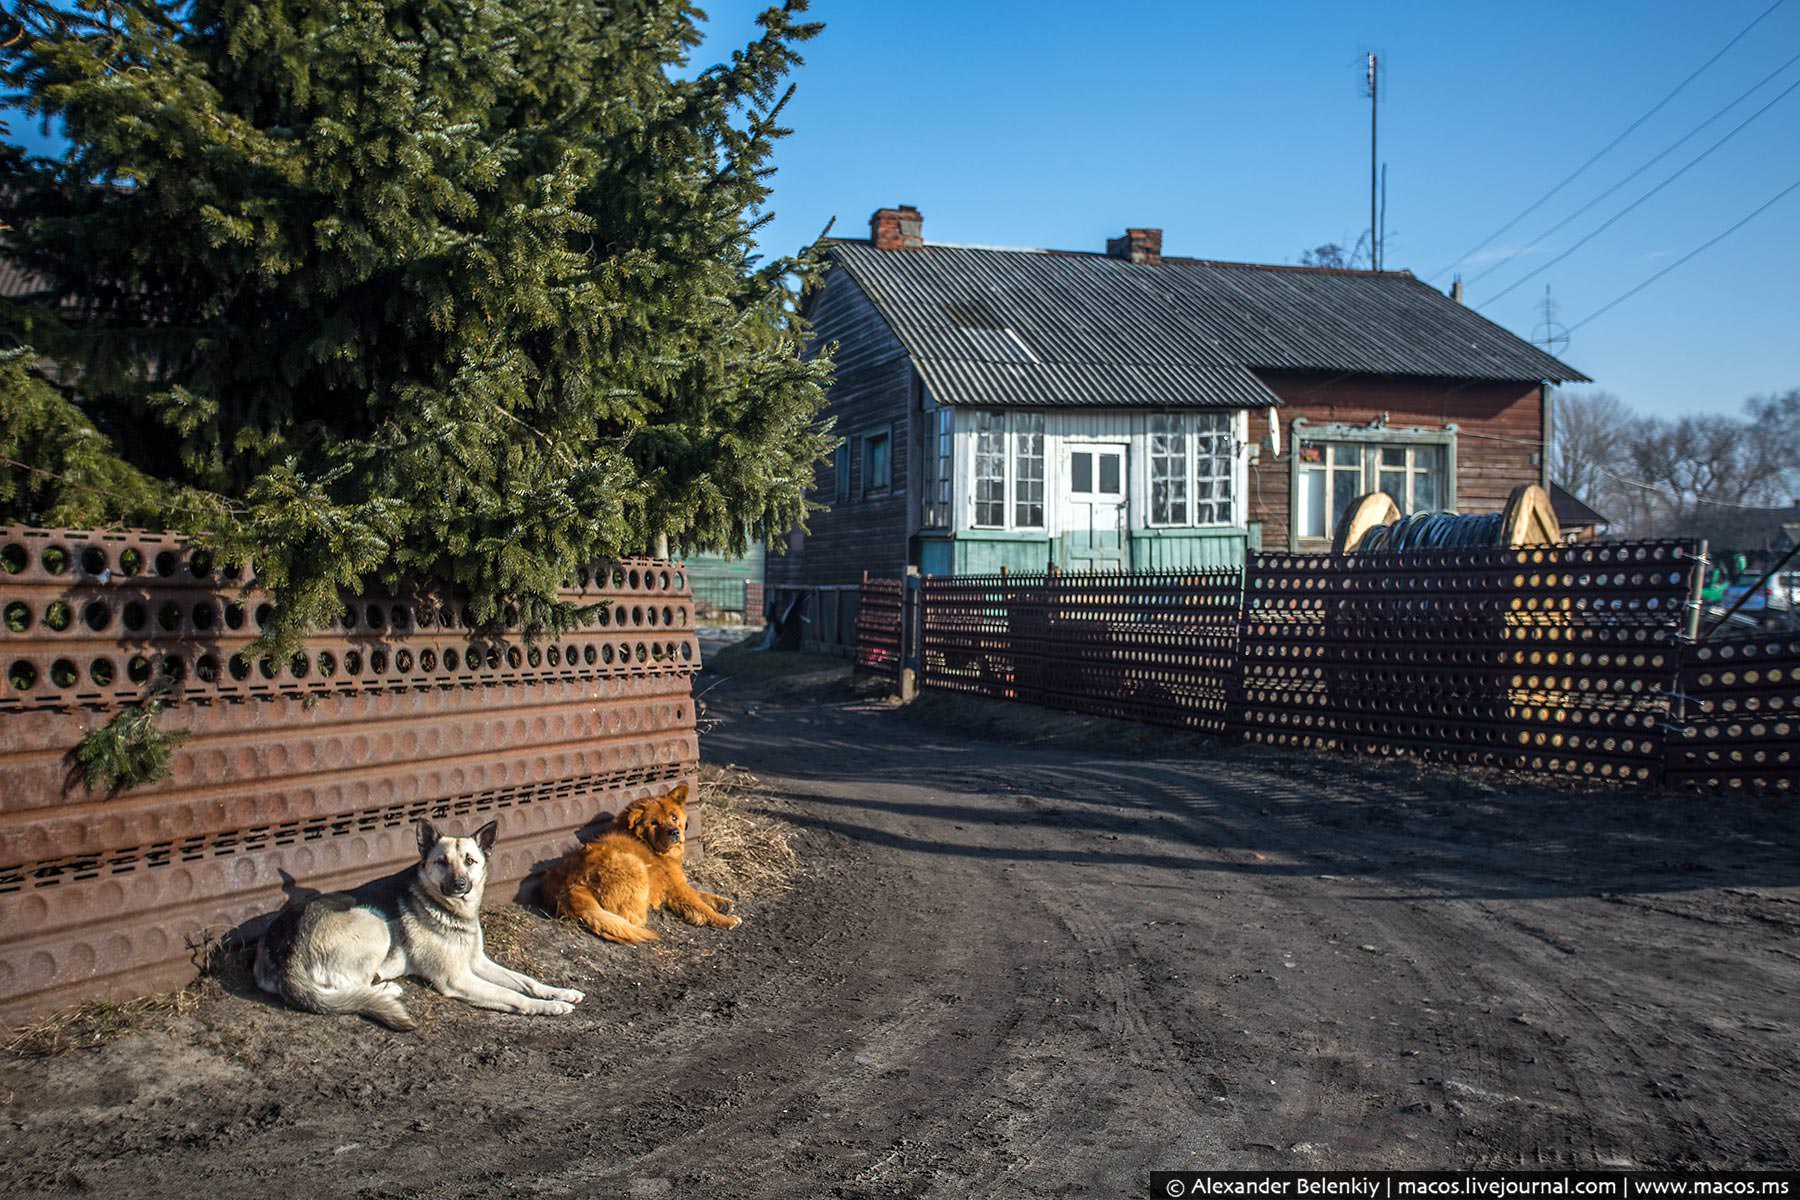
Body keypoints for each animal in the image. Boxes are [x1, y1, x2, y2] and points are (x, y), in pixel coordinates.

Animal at [255, 820, 583, 1029]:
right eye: (441, 862)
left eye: (470, 861)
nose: (459, 885)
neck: (449, 909)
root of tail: (284, 948)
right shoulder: (457, 979)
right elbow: (513, 996)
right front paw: (548, 1007)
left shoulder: (477, 963)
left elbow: (527, 982)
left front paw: (560, 993)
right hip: (374, 922)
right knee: (348, 988)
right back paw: (385, 990)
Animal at [532, 788, 738, 949]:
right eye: (654, 823)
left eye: (673, 817)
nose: (674, 832)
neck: (647, 843)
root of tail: (568, 887)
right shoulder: (678, 889)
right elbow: (701, 905)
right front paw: (725, 920)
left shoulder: (677, 885)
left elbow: (701, 894)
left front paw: (722, 902)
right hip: (635, 865)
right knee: (630, 919)